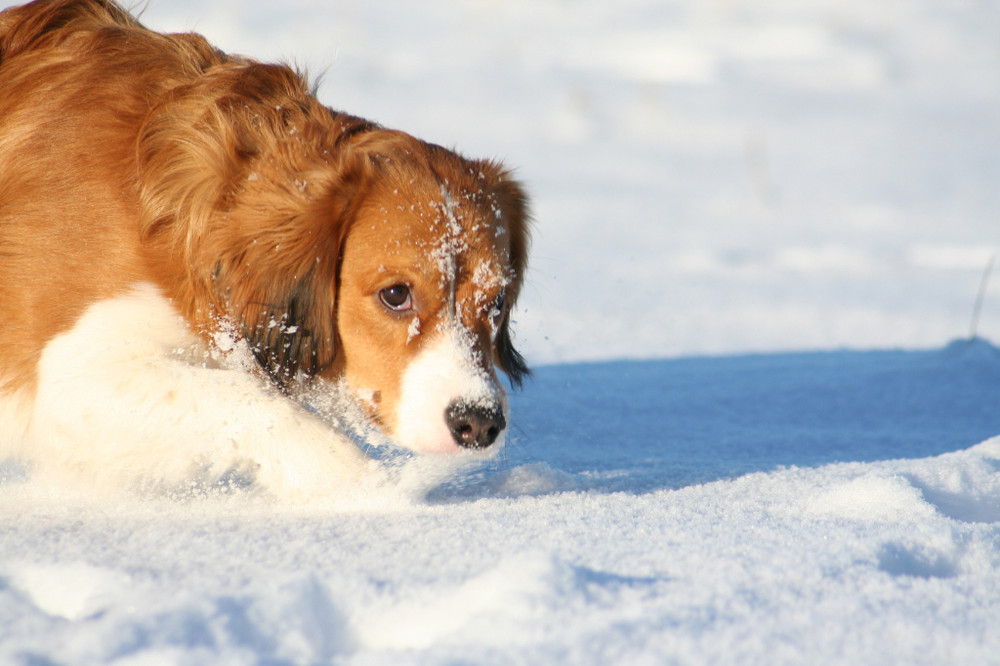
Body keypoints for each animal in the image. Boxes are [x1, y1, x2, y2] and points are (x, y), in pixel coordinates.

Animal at [0, 0, 532, 496]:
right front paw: (360, 486)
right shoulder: (69, 378)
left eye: (498, 303)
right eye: (396, 294)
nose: (479, 422)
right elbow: (249, 398)